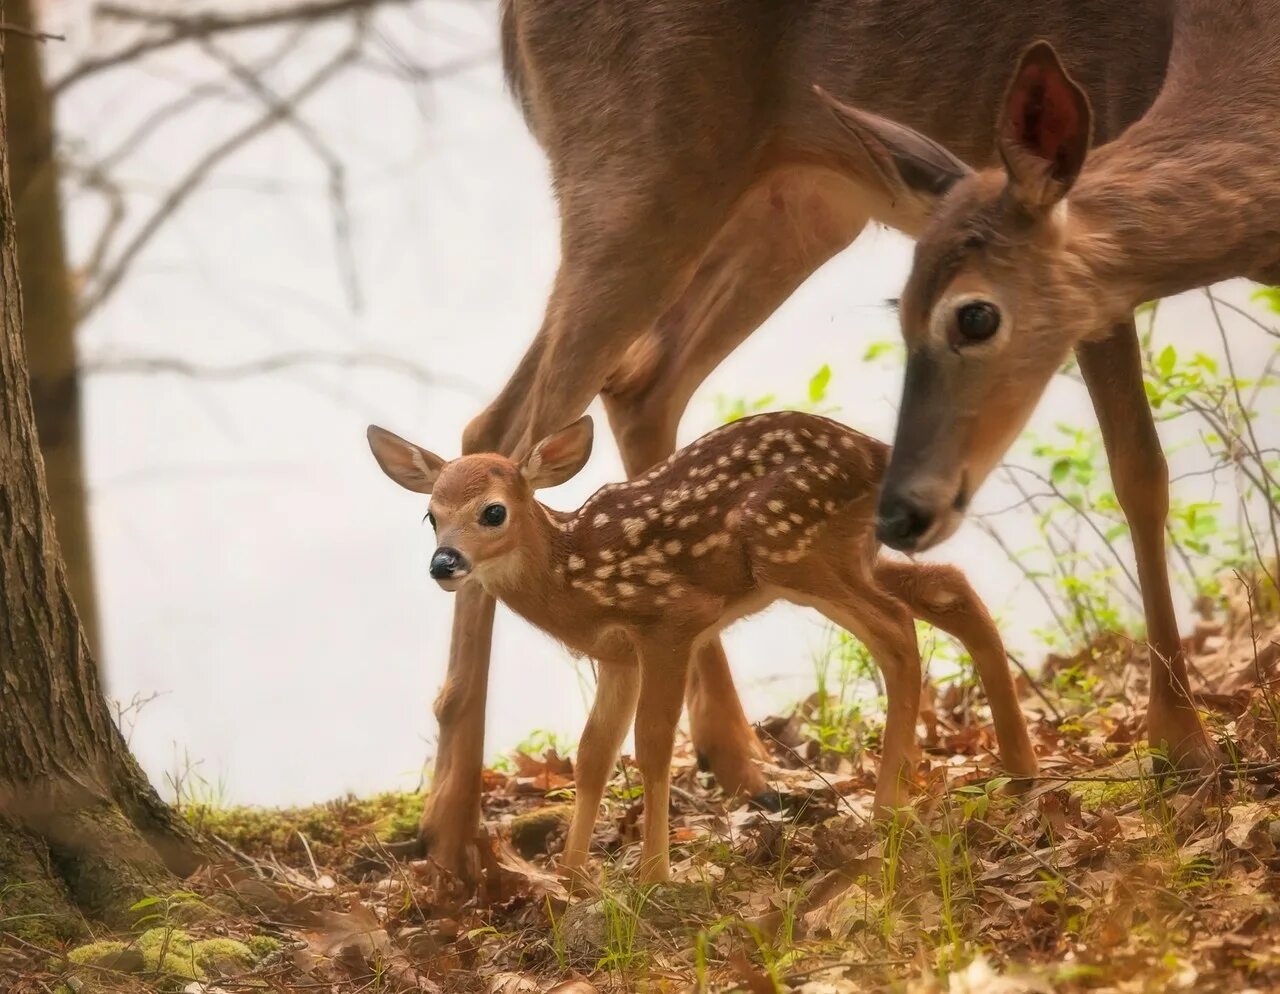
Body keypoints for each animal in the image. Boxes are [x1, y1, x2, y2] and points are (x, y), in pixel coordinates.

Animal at [399, 0, 1177, 875]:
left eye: (493, 514)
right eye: (432, 517)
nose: (444, 560)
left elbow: (626, 742)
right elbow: (1139, 470)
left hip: (794, 212)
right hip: (653, 184)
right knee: (518, 416)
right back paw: (456, 833)